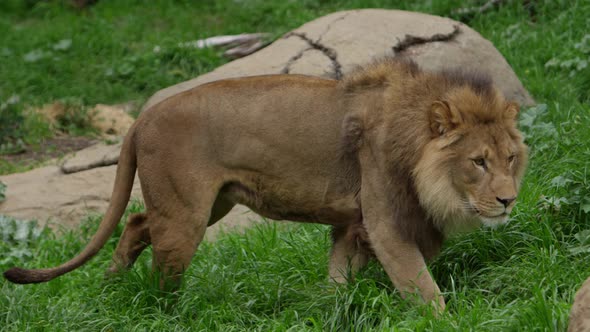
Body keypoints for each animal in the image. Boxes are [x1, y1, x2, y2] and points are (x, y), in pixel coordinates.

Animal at [2, 57, 528, 312]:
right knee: (160, 272)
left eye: (510, 158)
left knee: (133, 223)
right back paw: (161, 310)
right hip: (186, 216)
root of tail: (141, 118)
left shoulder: (352, 223)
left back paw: (110, 285)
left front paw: (331, 310)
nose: (508, 200)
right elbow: (422, 288)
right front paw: (447, 320)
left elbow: (339, 277)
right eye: (478, 162)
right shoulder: (386, 223)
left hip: (208, 204)